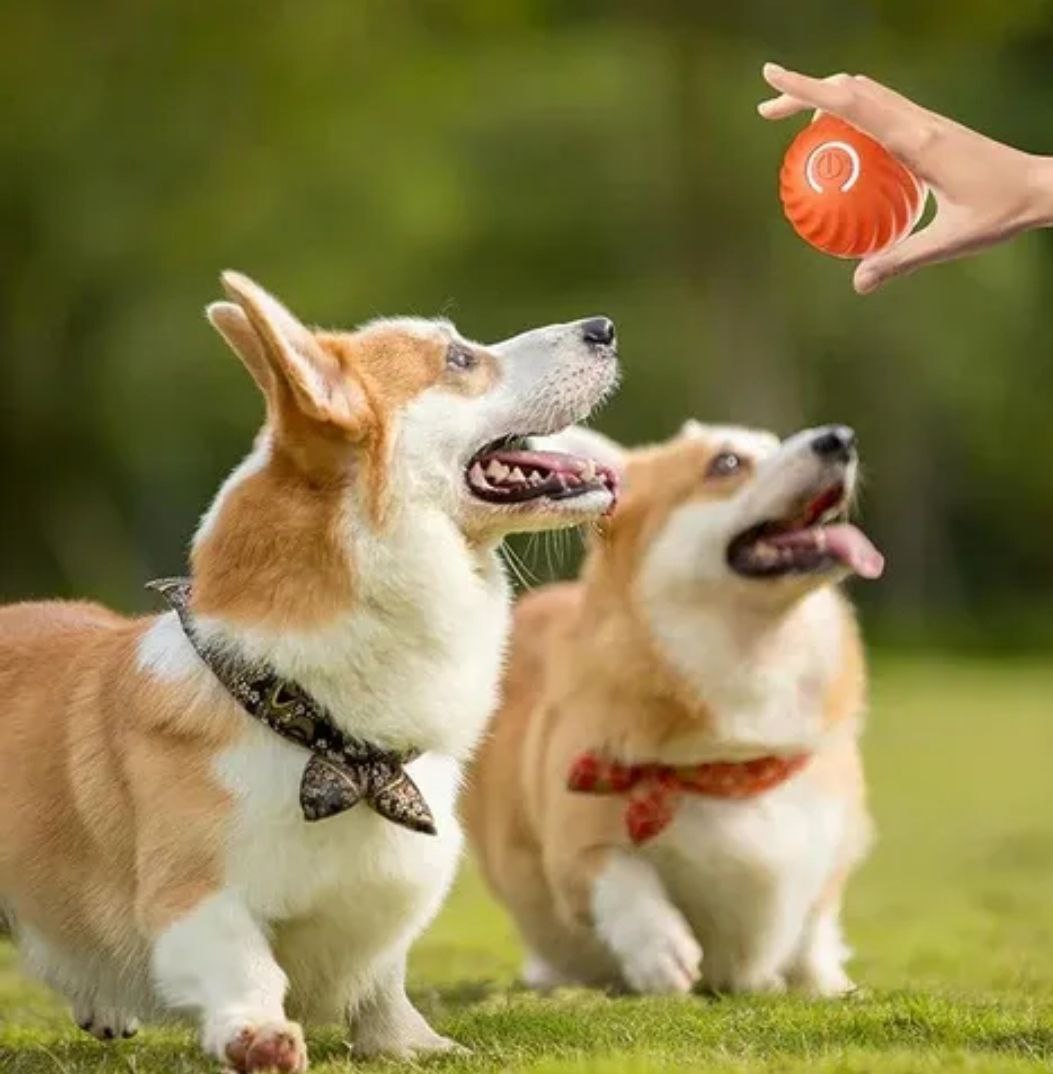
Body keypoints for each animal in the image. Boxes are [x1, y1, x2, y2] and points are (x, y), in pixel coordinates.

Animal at [0, 272, 623, 1069]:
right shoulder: (192, 898)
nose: (604, 328)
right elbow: (244, 964)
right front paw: (258, 1036)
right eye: (458, 358)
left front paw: (412, 1042)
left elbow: (383, 980)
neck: (318, 729)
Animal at [464, 418, 885, 996]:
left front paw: (825, 984)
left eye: (773, 443)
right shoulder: (576, 839)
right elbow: (620, 875)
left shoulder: (830, 845)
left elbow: (814, 925)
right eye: (726, 463)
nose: (840, 438)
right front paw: (662, 950)